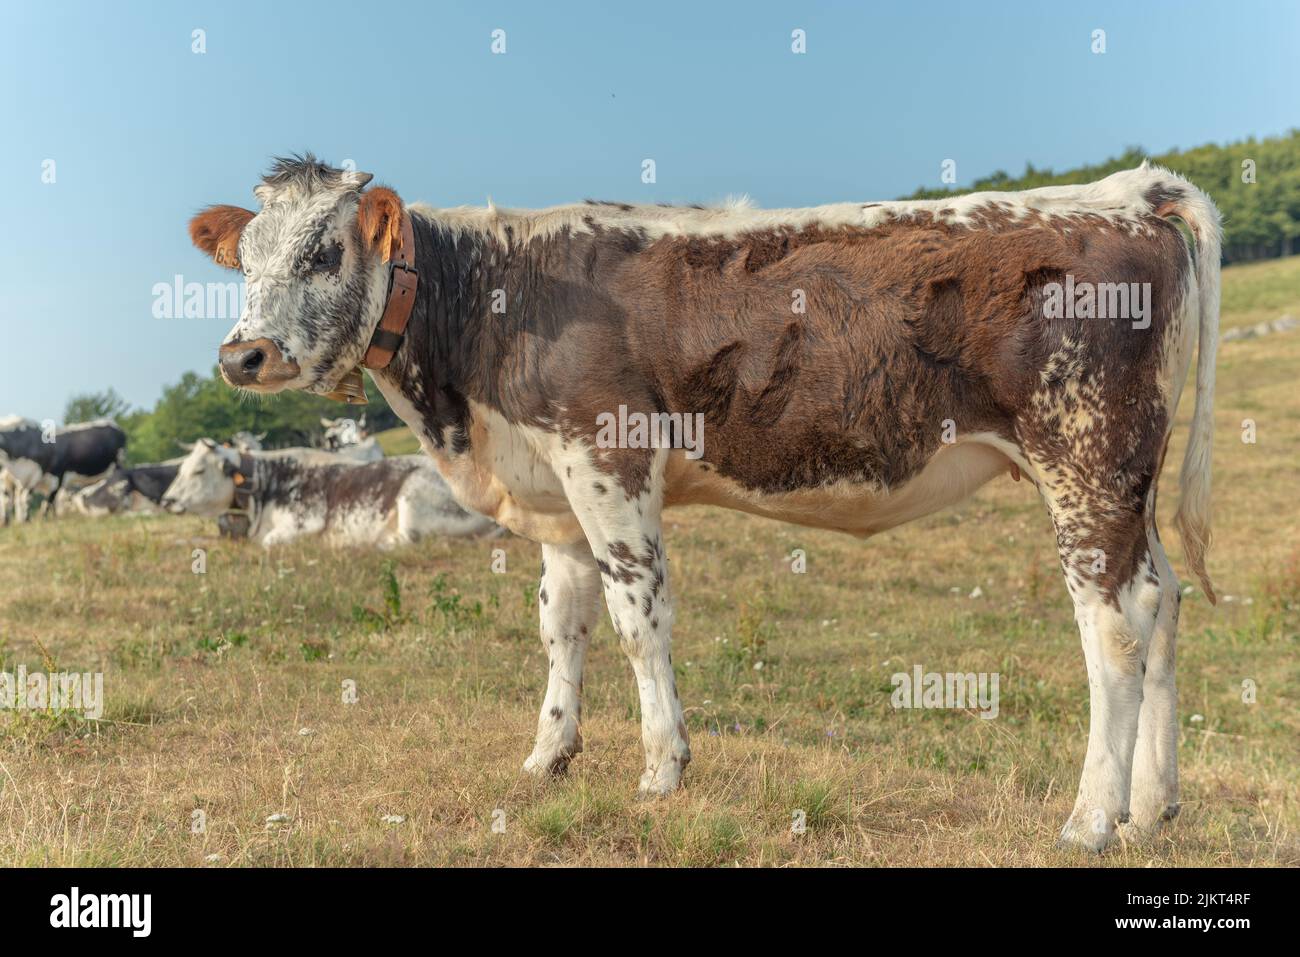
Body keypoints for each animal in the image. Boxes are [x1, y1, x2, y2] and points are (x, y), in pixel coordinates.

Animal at [158, 439, 501, 546]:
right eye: (180, 468)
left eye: (199, 470)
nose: (167, 500)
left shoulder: (304, 522)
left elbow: (270, 543)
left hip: (413, 496)